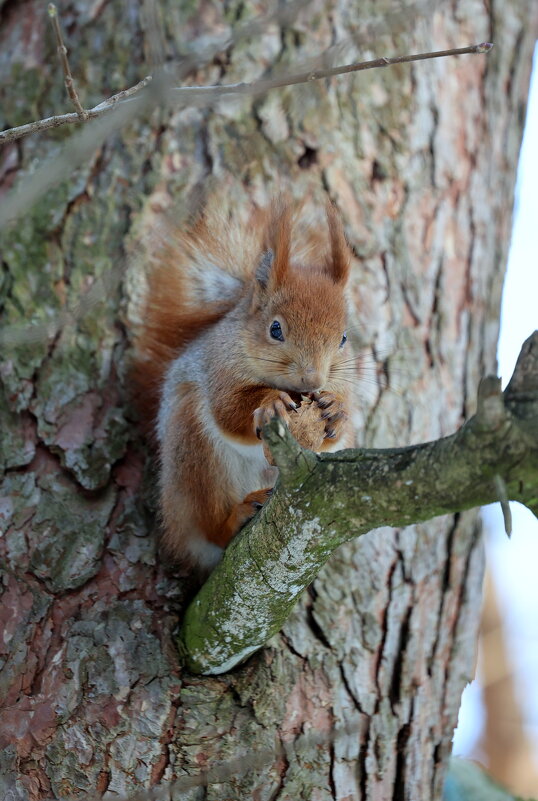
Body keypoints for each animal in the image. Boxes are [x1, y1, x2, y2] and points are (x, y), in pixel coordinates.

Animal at [132, 197, 354, 568]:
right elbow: (228, 411)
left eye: (344, 338)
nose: (313, 379)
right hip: (195, 453)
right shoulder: (218, 368)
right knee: (210, 528)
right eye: (275, 329)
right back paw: (234, 518)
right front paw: (270, 402)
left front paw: (336, 410)